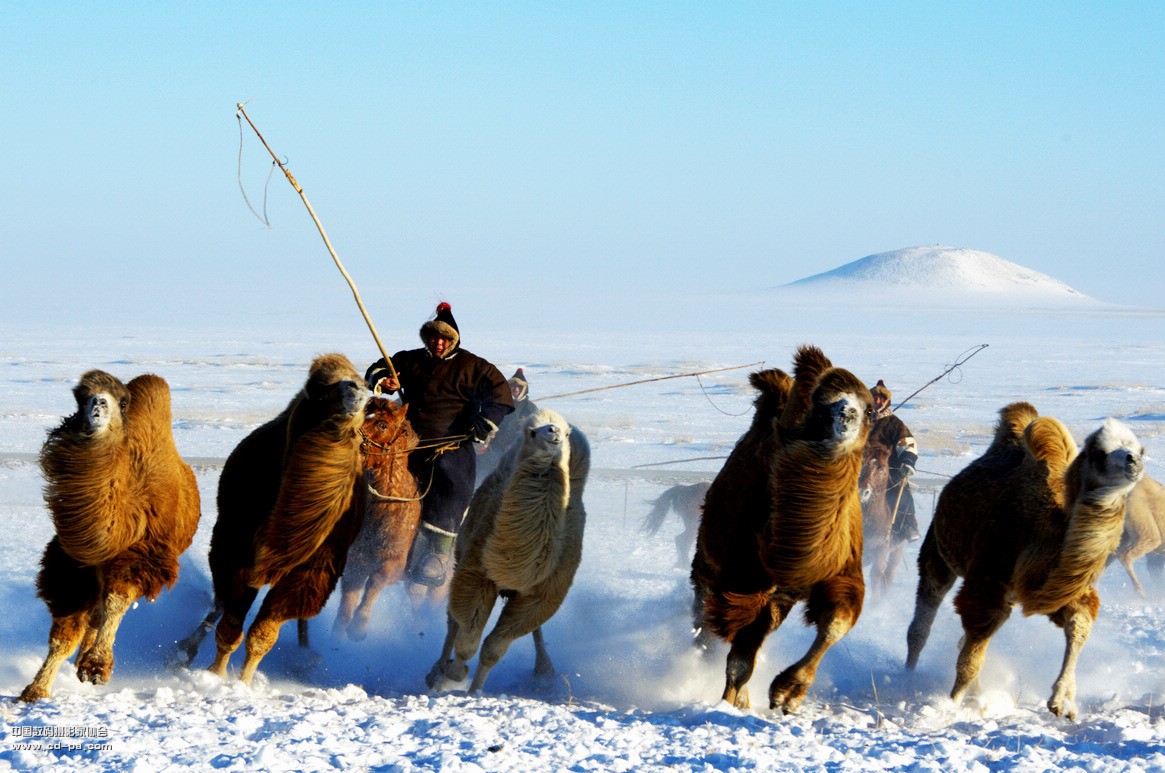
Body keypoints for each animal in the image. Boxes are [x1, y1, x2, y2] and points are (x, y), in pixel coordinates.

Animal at [21, 367, 200, 698]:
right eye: (80, 395)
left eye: (123, 400)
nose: (99, 404)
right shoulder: (71, 564)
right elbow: (64, 634)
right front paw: (35, 691)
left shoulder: (143, 555)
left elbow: (116, 601)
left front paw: (96, 668)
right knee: (93, 613)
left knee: (102, 609)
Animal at [333, 393, 424, 637]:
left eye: (382, 424)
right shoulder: (356, 559)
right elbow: (349, 597)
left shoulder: (394, 561)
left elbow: (375, 581)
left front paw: (360, 625)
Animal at [426, 407, 587, 689]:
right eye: (531, 431)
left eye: (566, 433)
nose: (554, 432)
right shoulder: (478, 575)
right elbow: (468, 641)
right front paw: (452, 675)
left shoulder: (542, 595)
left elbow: (493, 650)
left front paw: (473, 691)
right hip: (462, 554)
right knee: (453, 621)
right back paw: (437, 670)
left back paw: (544, 669)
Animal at [689, 344, 876, 712]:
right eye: (820, 402)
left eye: (871, 410)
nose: (846, 416)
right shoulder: (745, 583)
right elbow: (739, 656)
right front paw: (730, 704)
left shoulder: (840, 572)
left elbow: (837, 621)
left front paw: (787, 692)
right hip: (709, 567)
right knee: (707, 619)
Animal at [904, 405, 1141, 717]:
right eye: (1099, 452)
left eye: (1138, 446)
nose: (1133, 460)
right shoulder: (988, 581)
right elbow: (970, 658)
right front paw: (950, 705)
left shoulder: (1056, 590)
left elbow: (1079, 623)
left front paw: (1062, 701)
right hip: (938, 549)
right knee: (922, 621)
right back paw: (907, 675)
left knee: (959, 639)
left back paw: (977, 696)